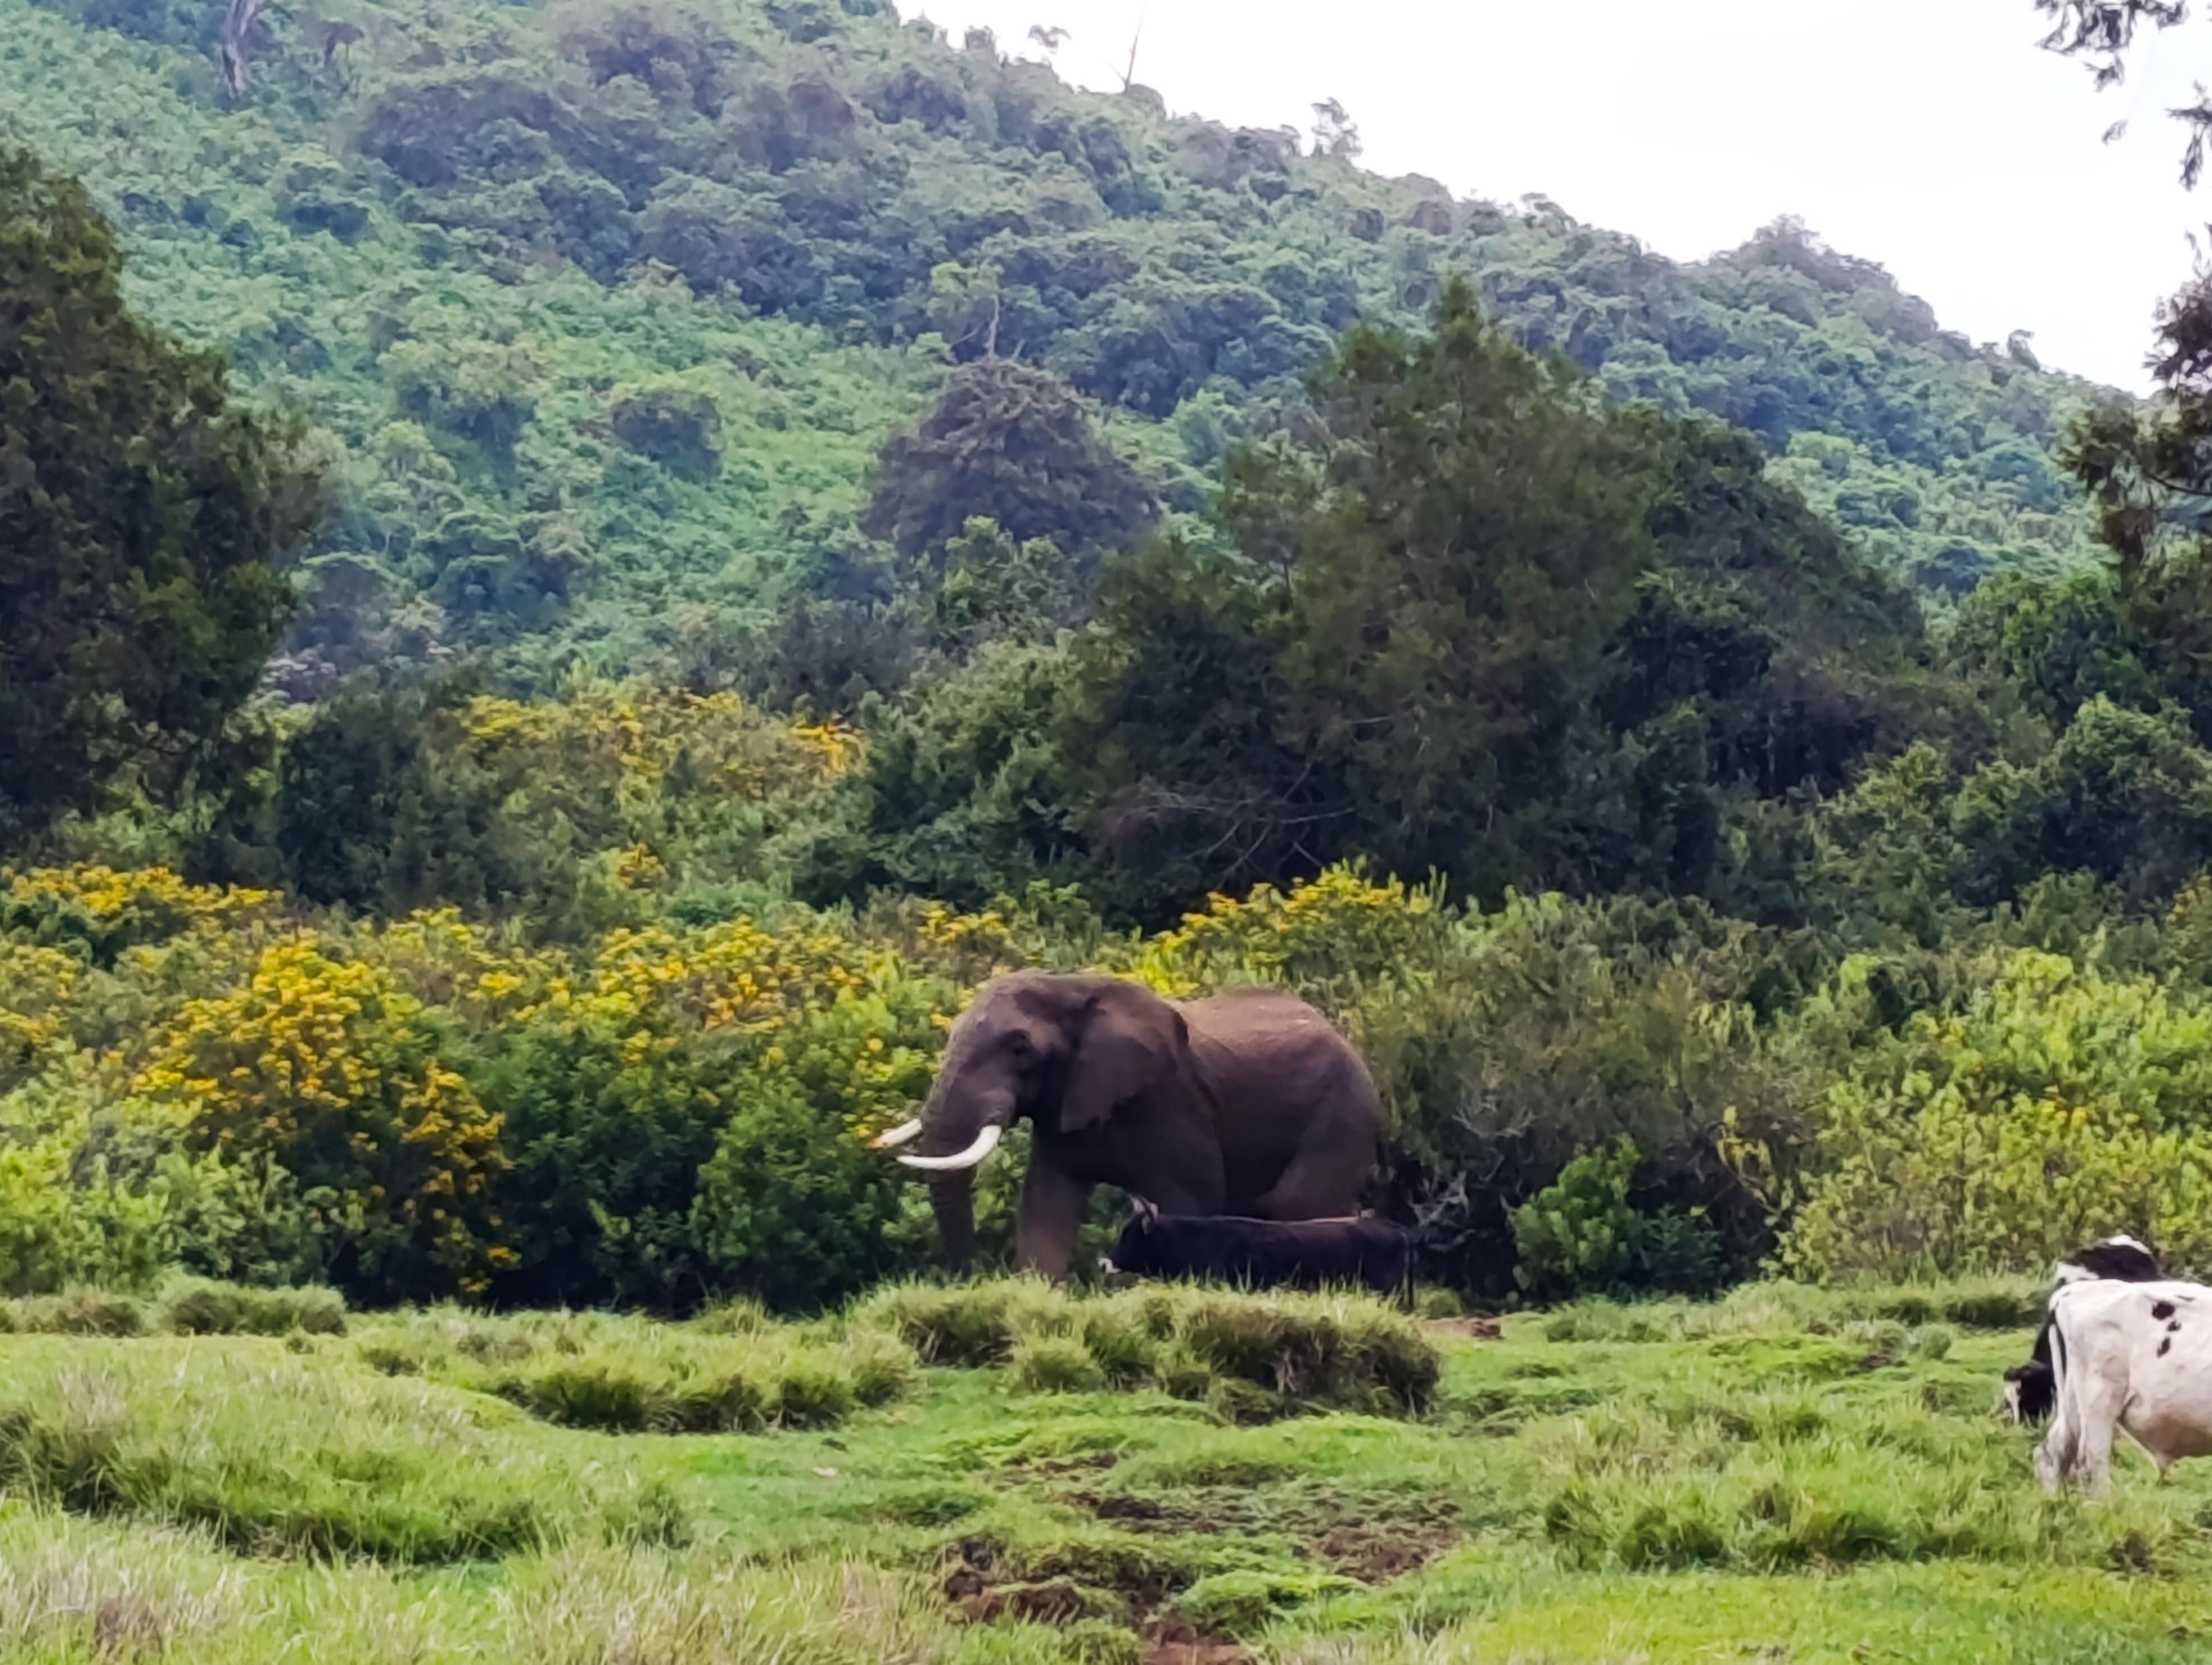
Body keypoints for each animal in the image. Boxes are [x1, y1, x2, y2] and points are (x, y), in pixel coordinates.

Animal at [872, 970, 1385, 1279]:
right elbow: (1046, 1205)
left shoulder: (1171, 1101)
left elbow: (1189, 1200)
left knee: (1296, 1204)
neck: (1071, 986)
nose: (972, 1276)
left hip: (1344, 1113)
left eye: (1020, 1048)